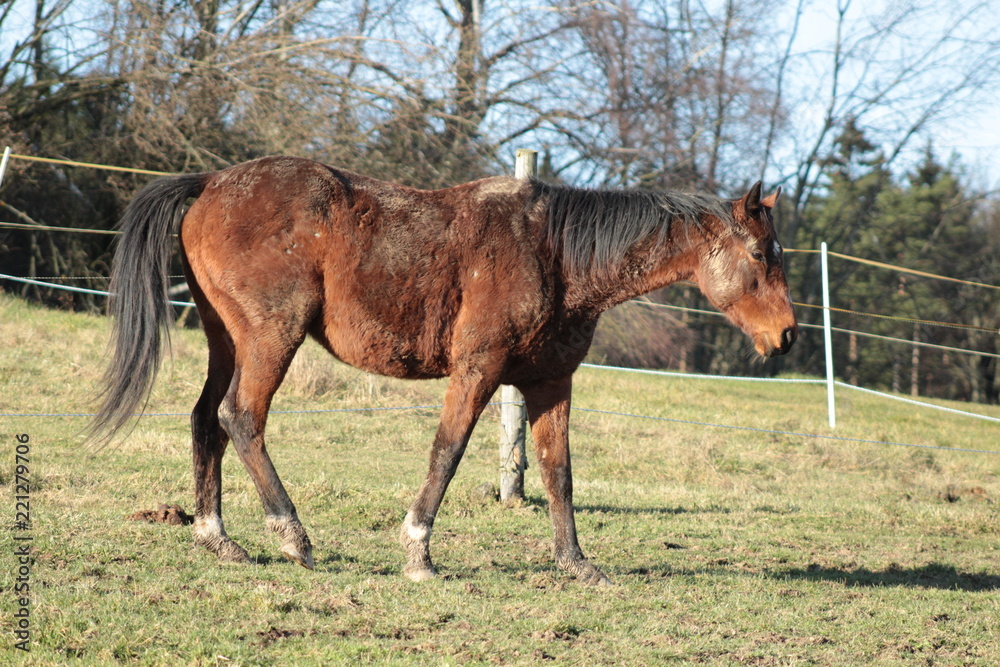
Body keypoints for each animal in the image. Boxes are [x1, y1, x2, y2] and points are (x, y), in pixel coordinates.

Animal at [91, 155, 797, 585]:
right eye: (762, 254)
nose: (787, 335)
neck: (553, 254)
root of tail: (211, 182)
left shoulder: (550, 384)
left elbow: (559, 474)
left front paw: (576, 563)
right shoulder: (477, 371)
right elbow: (447, 453)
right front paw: (418, 552)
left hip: (227, 342)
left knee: (206, 419)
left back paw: (217, 537)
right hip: (270, 340)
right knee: (242, 418)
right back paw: (292, 536)